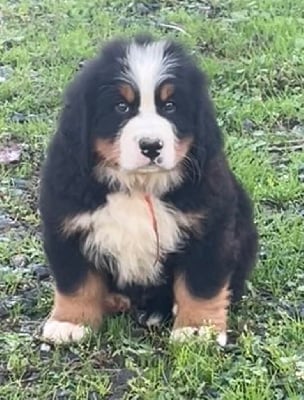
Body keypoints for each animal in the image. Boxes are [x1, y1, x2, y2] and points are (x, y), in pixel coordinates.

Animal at [39, 34, 258, 346]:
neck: (139, 184)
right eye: (121, 107)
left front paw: (197, 328)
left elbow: (201, 283)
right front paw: (70, 322)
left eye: (170, 106)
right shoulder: (67, 224)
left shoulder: (209, 228)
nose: (151, 146)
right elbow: (76, 281)